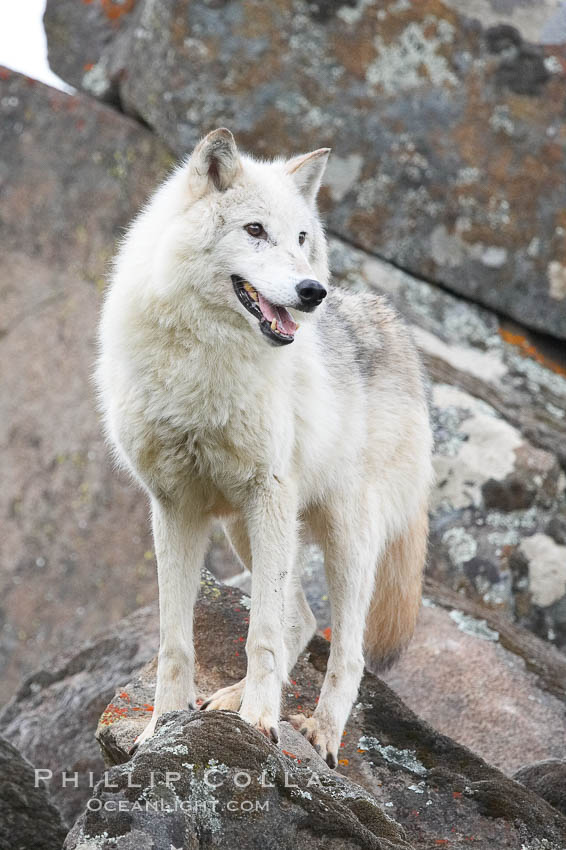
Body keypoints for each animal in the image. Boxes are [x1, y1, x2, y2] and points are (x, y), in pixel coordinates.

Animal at [97, 129, 434, 764]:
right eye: (255, 230)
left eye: (301, 238)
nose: (312, 292)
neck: (205, 362)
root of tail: (394, 323)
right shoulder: (173, 506)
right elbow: (175, 641)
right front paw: (161, 729)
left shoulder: (269, 492)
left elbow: (262, 636)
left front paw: (256, 725)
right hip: (243, 530)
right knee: (300, 617)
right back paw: (229, 700)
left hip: (342, 538)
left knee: (345, 652)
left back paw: (316, 734)